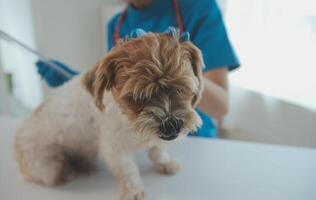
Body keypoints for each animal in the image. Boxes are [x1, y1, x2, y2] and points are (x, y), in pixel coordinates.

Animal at [14, 30, 204, 199]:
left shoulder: (155, 140)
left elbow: (158, 151)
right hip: (46, 165)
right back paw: (69, 172)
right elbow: (128, 171)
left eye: (182, 89)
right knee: (51, 176)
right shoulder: (114, 149)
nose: (171, 124)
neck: (129, 119)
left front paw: (166, 164)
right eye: (138, 97)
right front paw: (133, 191)